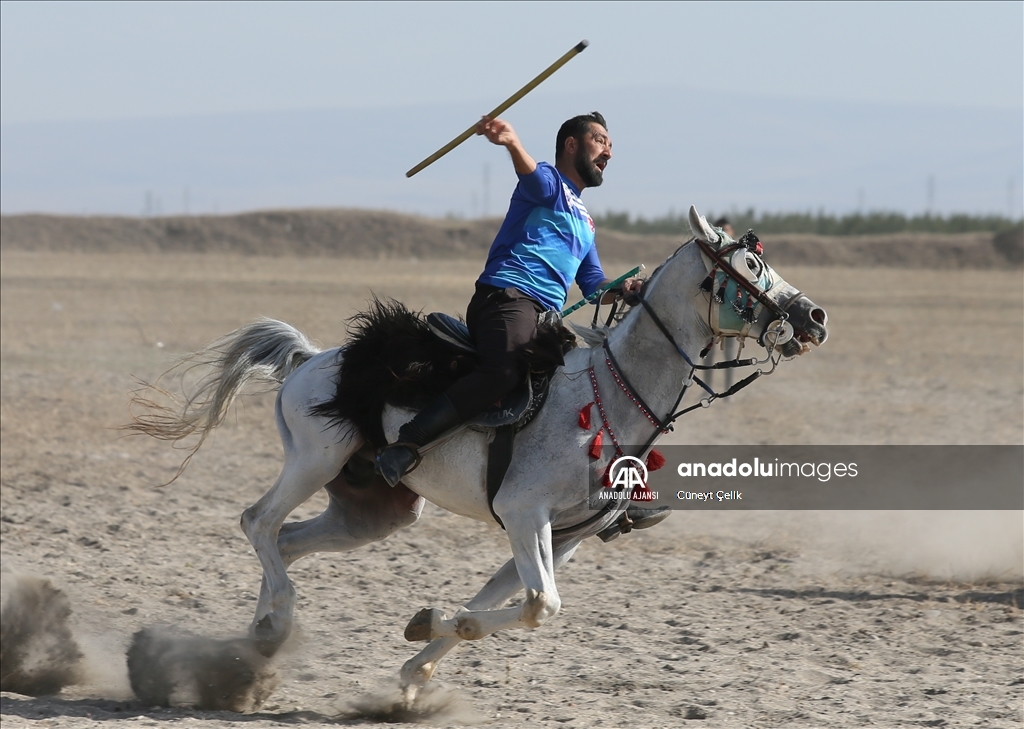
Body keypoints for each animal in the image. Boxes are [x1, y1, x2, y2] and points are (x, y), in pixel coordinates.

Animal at [132, 207, 827, 696]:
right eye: (752, 267)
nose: (814, 317)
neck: (606, 397)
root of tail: (312, 359)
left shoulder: (563, 536)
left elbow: (504, 601)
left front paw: (418, 661)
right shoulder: (524, 514)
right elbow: (540, 605)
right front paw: (428, 633)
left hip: (373, 512)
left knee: (289, 540)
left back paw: (257, 647)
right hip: (314, 460)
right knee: (258, 522)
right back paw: (271, 629)